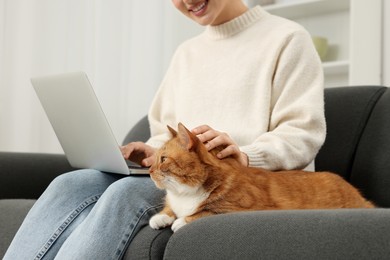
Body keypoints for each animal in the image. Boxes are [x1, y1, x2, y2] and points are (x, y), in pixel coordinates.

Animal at [148, 123, 374, 233]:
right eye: (154, 158)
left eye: (163, 159)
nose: (149, 170)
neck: (183, 194)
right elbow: (169, 209)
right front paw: (161, 217)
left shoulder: (242, 209)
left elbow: (207, 211)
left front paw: (181, 220)